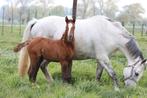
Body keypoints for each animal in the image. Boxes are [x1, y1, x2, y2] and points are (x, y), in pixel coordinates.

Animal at [18, 15, 147, 90]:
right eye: (136, 73)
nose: (131, 89)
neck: (109, 32)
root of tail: (37, 22)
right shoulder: (103, 58)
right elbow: (112, 73)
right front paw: (117, 89)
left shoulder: (101, 59)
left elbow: (98, 74)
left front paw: (96, 85)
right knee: (37, 68)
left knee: (42, 66)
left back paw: (51, 82)